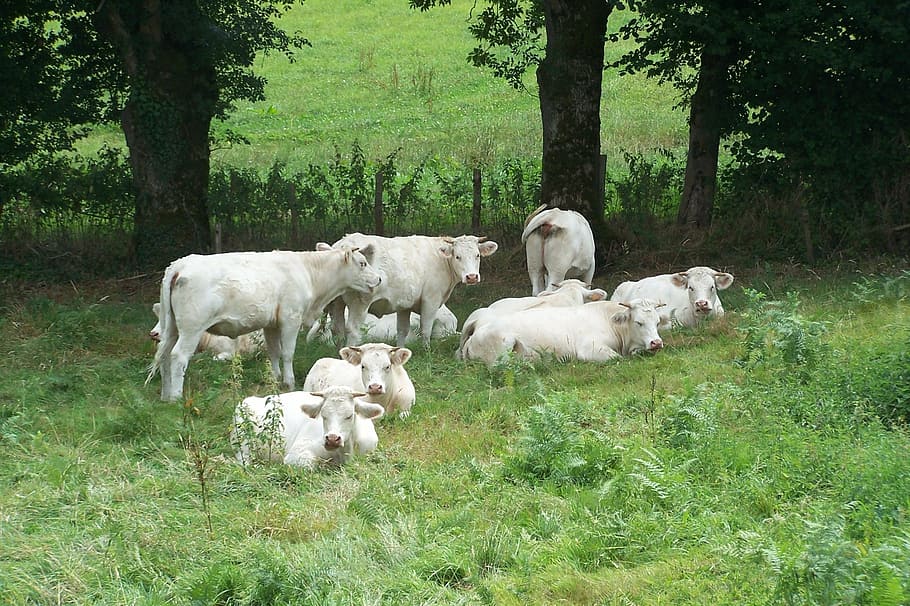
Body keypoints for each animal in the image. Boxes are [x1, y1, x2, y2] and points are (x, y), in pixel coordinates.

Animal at [149, 245, 382, 401]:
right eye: (362, 263)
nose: (379, 279)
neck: (307, 272)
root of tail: (180, 264)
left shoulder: (271, 323)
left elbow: (274, 352)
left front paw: (275, 379)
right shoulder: (290, 318)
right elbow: (287, 353)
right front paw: (288, 382)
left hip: (170, 328)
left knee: (164, 355)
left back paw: (165, 396)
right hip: (192, 328)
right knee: (178, 357)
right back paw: (176, 397)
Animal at [326, 233, 498, 347]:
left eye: (477, 255)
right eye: (457, 256)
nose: (472, 277)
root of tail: (343, 244)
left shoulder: (404, 304)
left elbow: (402, 330)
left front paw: (400, 350)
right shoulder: (431, 299)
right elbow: (426, 328)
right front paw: (427, 351)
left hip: (336, 302)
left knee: (337, 328)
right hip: (359, 302)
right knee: (352, 329)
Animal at [461, 299, 665, 366]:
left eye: (657, 322)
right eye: (639, 322)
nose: (657, 342)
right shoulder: (590, 349)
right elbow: (617, 358)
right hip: (504, 344)